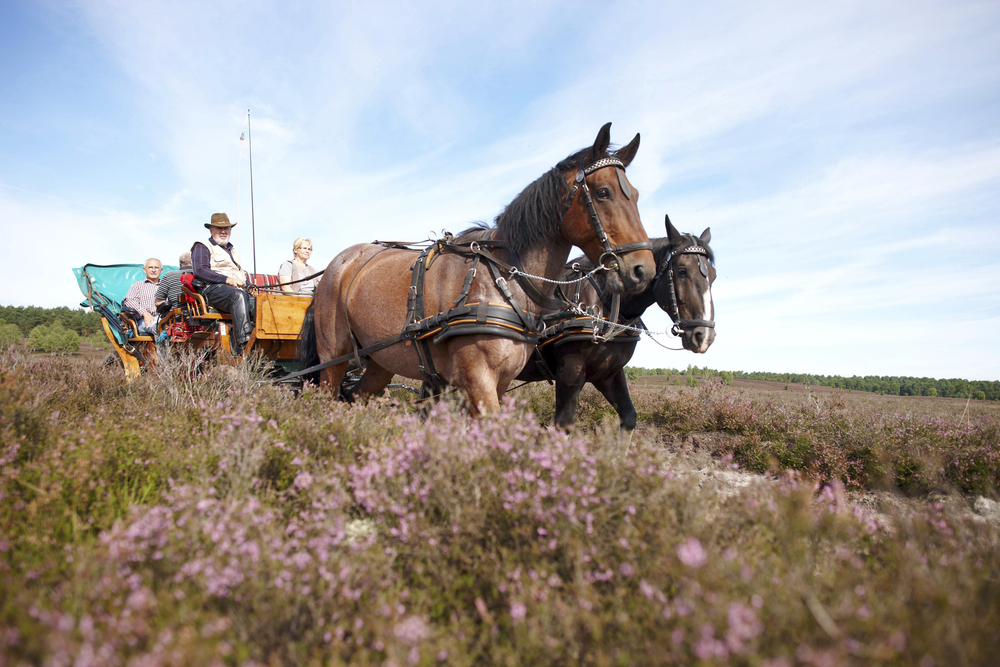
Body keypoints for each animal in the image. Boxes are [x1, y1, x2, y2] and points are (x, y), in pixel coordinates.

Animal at [298, 123, 656, 414]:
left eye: (637, 195)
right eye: (603, 192)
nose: (643, 270)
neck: (502, 278)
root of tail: (337, 266)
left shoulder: (499, 382)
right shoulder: (477, 381)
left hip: (379, 362)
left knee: (356, 397)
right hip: (333, 358)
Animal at [516, 215, 720, 444]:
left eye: (713, 275)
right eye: (683, 271)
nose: (704, 336)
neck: (605, 306)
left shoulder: (609, 374)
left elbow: (629, 417)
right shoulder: (569, 372)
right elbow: (563, 426)